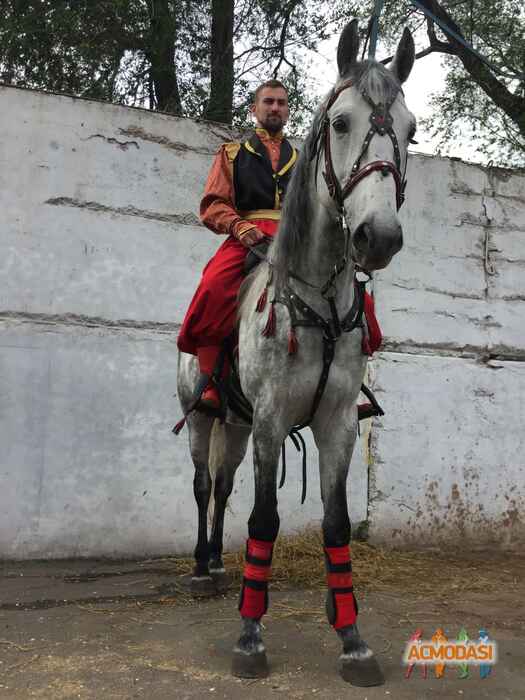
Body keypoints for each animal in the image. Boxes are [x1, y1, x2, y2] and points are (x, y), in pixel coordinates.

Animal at [178, 19, 416, 688]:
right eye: (340, 122)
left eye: (411, 129)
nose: (378, 237)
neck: (318, 302)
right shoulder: (270, 418)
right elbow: (264, 520)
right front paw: (250, 636)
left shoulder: (335, 422)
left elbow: (336, 523)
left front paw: (352, 638)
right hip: (206, 416)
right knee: (204, 485)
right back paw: (203, 567)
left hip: (235, 424)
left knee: (223, 485)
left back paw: (220, 565)